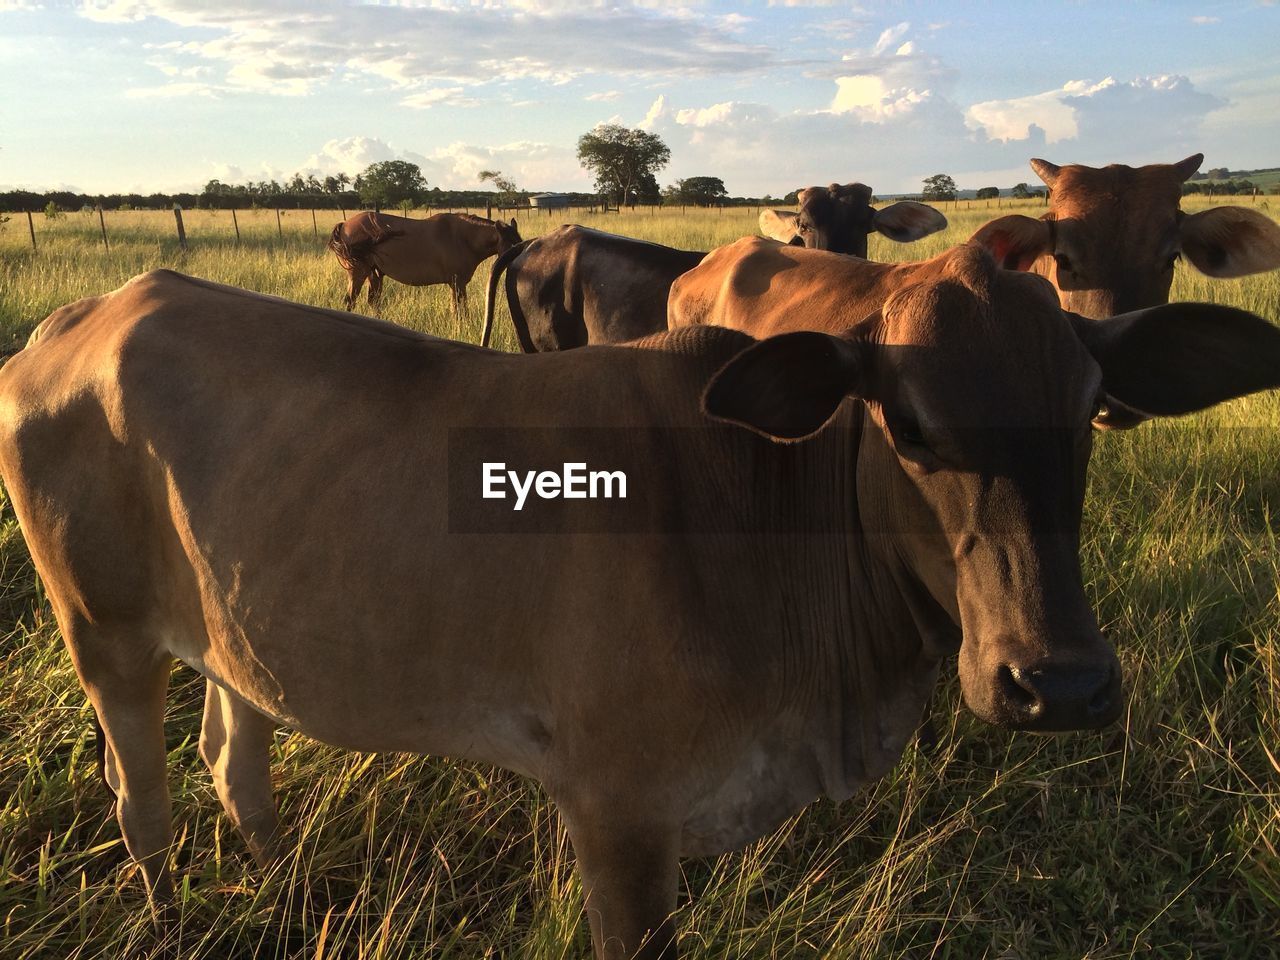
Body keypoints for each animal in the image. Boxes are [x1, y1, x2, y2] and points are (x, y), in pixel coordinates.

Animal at [2, 264, 1280, 960]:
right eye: (908, 422)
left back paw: (286, 897)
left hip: (232, 634)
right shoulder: (614, 814)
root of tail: (82, 317)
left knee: (237, 765)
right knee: (142, 803)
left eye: (1091, 409)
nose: (1055, 683)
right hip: (103, 636)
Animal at [327, 211, 522, 320]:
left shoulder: (456, 285)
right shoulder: (457, 284)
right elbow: (460, 311)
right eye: (512, 245)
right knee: (350, 301)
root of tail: (344, 224)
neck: (463, 238)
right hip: (358, 273)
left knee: (372, 301)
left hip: (373, 274)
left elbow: (457, 310)